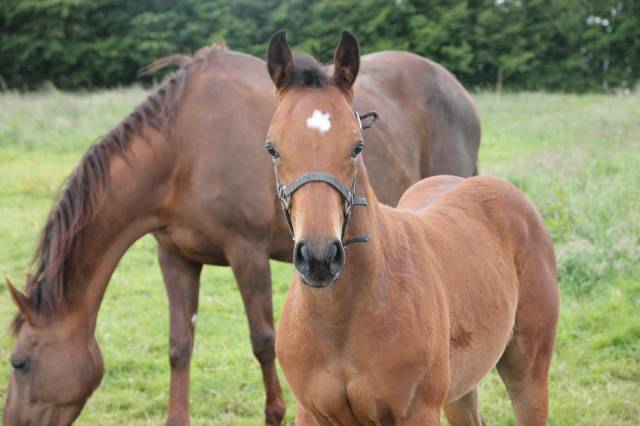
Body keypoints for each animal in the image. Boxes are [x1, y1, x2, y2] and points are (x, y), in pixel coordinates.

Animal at [1, 38, 480, 424]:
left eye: (20, 362)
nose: (14, 422)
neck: (182, 150)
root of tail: (457, 89)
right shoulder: (175, 256)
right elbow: (179, 345)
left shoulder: (246, 253)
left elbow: (263, 342)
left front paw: (274, 413)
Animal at [270, 31, 560, 424]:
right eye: (272, 148)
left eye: (357, 146)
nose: (319, 257)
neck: (341, 318)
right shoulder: (311, 412)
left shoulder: (417, 411)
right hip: (461, 387)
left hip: (528, 373)